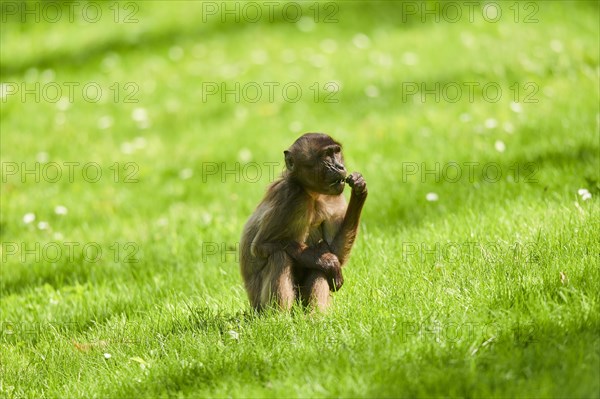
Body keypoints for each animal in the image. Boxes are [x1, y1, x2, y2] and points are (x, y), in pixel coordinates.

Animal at [239, 134, 366, 312]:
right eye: (327, 155)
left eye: (337, 152)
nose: (340, 166)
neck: (311, 193)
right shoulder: (292, 197)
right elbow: (259, 246)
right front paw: (327, 261)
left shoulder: (333, 196)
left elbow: (336, 252)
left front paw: (359, 190)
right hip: (260, 302)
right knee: (280, 255)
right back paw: (280, 316)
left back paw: (317, 314)